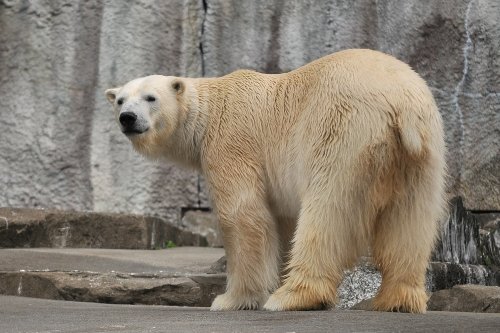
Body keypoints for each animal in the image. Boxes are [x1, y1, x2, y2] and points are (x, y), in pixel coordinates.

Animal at [104, 48, 446, 312]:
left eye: (150, 98)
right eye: (120, 100)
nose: (128, 118)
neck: (209, 111)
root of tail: (401, 103)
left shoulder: (231, 142)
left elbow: (242, 215)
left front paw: (231, 299)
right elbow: (280, 220)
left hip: (343, 131)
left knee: (327, 211)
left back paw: (293, 297)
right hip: (421, 154)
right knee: (410, 221)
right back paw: (398, 299)